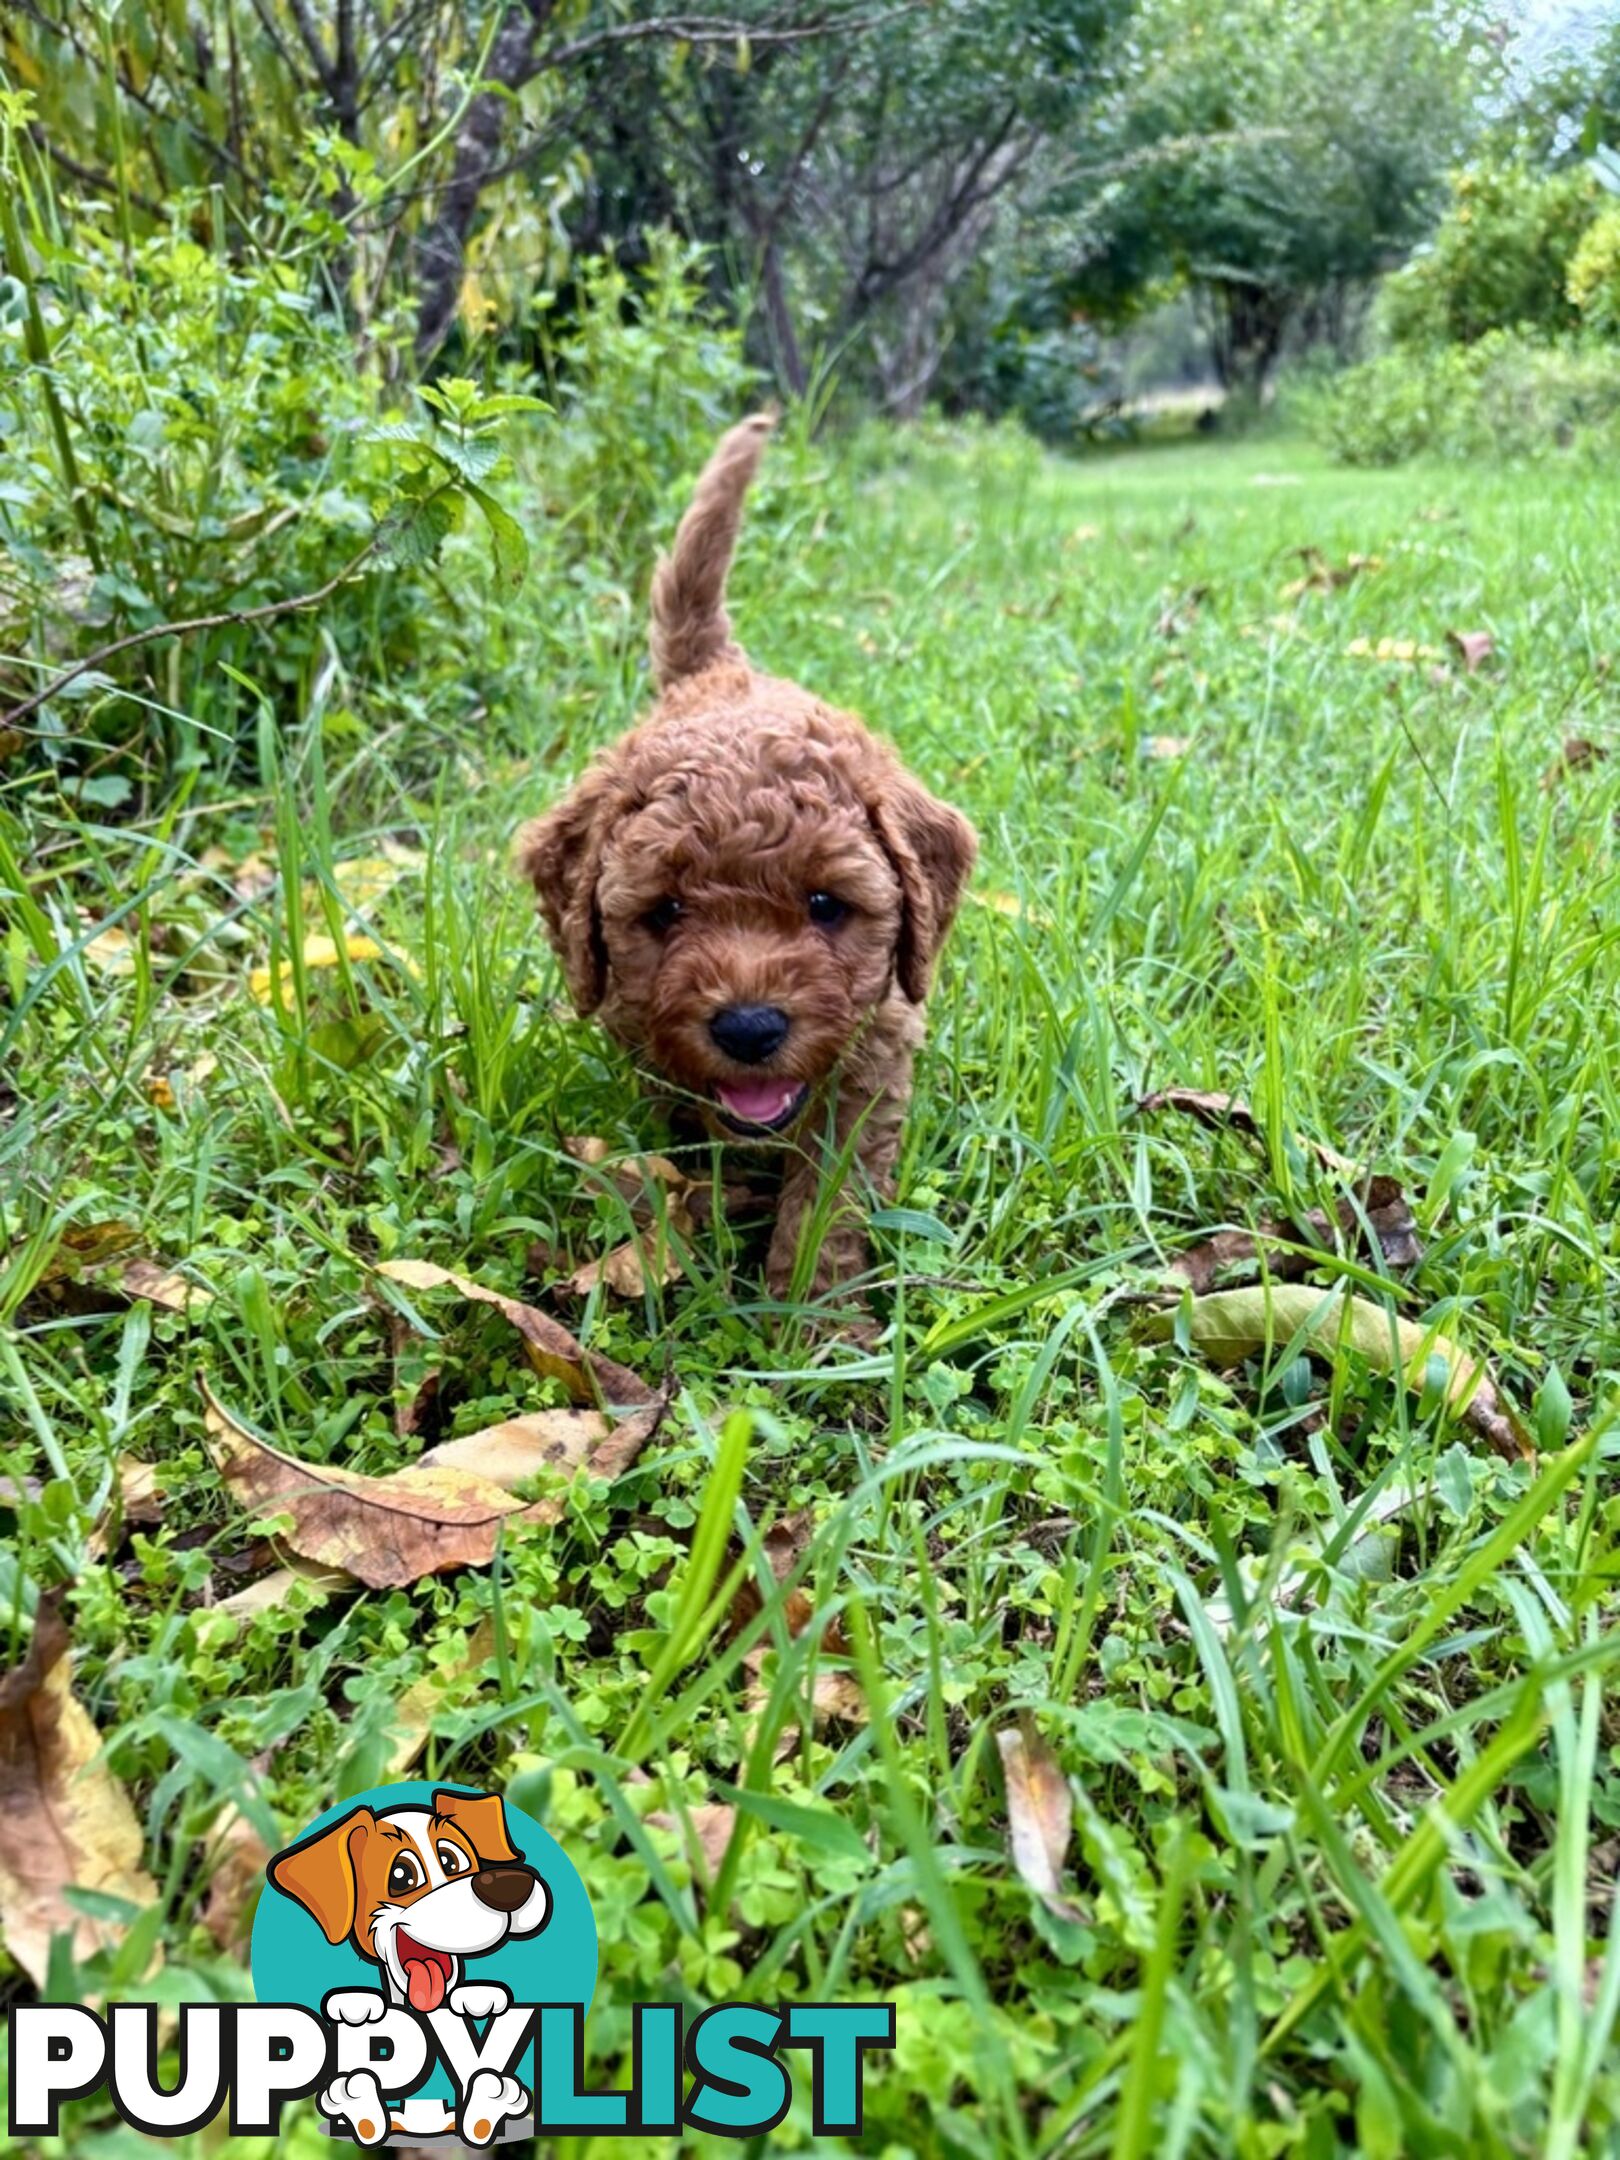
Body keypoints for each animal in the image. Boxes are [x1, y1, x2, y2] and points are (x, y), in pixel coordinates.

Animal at [520, 412, 976, 1304]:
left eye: (826, 905)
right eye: (664, 911)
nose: (749, 1026)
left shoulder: (871, 1067)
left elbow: (827, 1206)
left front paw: (812, 1317)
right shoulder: (652, 1051)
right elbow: (690, 1141)